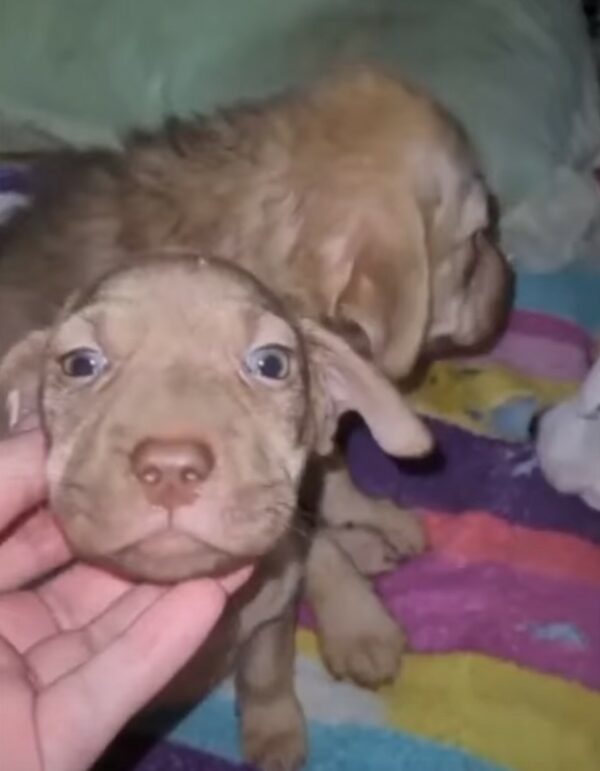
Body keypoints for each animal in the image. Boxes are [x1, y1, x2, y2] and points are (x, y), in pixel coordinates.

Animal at [0, 66, 510, 688]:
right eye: (476, 243)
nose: (510, 288)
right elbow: (310, 545)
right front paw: (359, 621)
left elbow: (332, 475)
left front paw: (369, 516)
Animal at [0, 255, 432, 771]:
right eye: (80, 364)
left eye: (271, 363)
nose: (170, 468)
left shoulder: (270, 621)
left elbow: (266, 676)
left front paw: (274, 729)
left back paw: (368, 588)